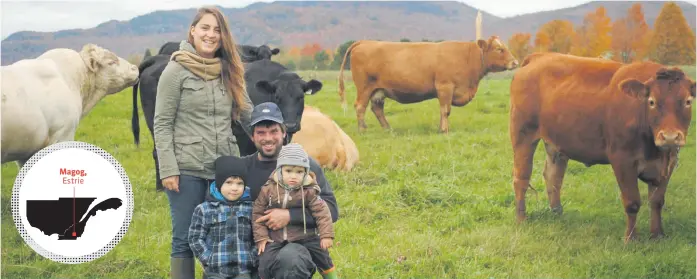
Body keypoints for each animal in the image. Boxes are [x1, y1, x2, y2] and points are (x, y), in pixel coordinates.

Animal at [334, 36, 520, 135]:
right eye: (499, 49)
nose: (515, 62)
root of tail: (364, 41)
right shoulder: (445, 87)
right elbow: (445, 110)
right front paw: (444, 130)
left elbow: (444, 111)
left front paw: (441, 128)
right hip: (364, 88)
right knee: (360, 106)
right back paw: (362, 129)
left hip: (378, 90)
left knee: (377, 109)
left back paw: (388, 129)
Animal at [508, 52, 692, 243]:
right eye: (652, 102)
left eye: (688, 101)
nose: (670, 136)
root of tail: (540, 56)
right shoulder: (622, 160)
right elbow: (632, 202)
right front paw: (631, 239)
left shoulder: (668, 163)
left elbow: (657, 201)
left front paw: (657, 235)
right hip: (523, 134)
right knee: (521, 178)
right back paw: (521, 218)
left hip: (556, 143)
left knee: (553, 177)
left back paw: (557, 213)